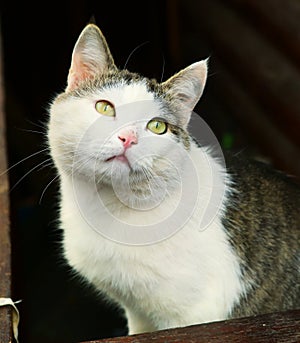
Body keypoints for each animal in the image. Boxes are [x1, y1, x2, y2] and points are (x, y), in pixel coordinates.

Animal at [45, 24, 298, 336]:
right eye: (104, 108)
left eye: (157, 126)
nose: (128, 138)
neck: (108, 210)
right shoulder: (136, 311)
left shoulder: (192, 317)